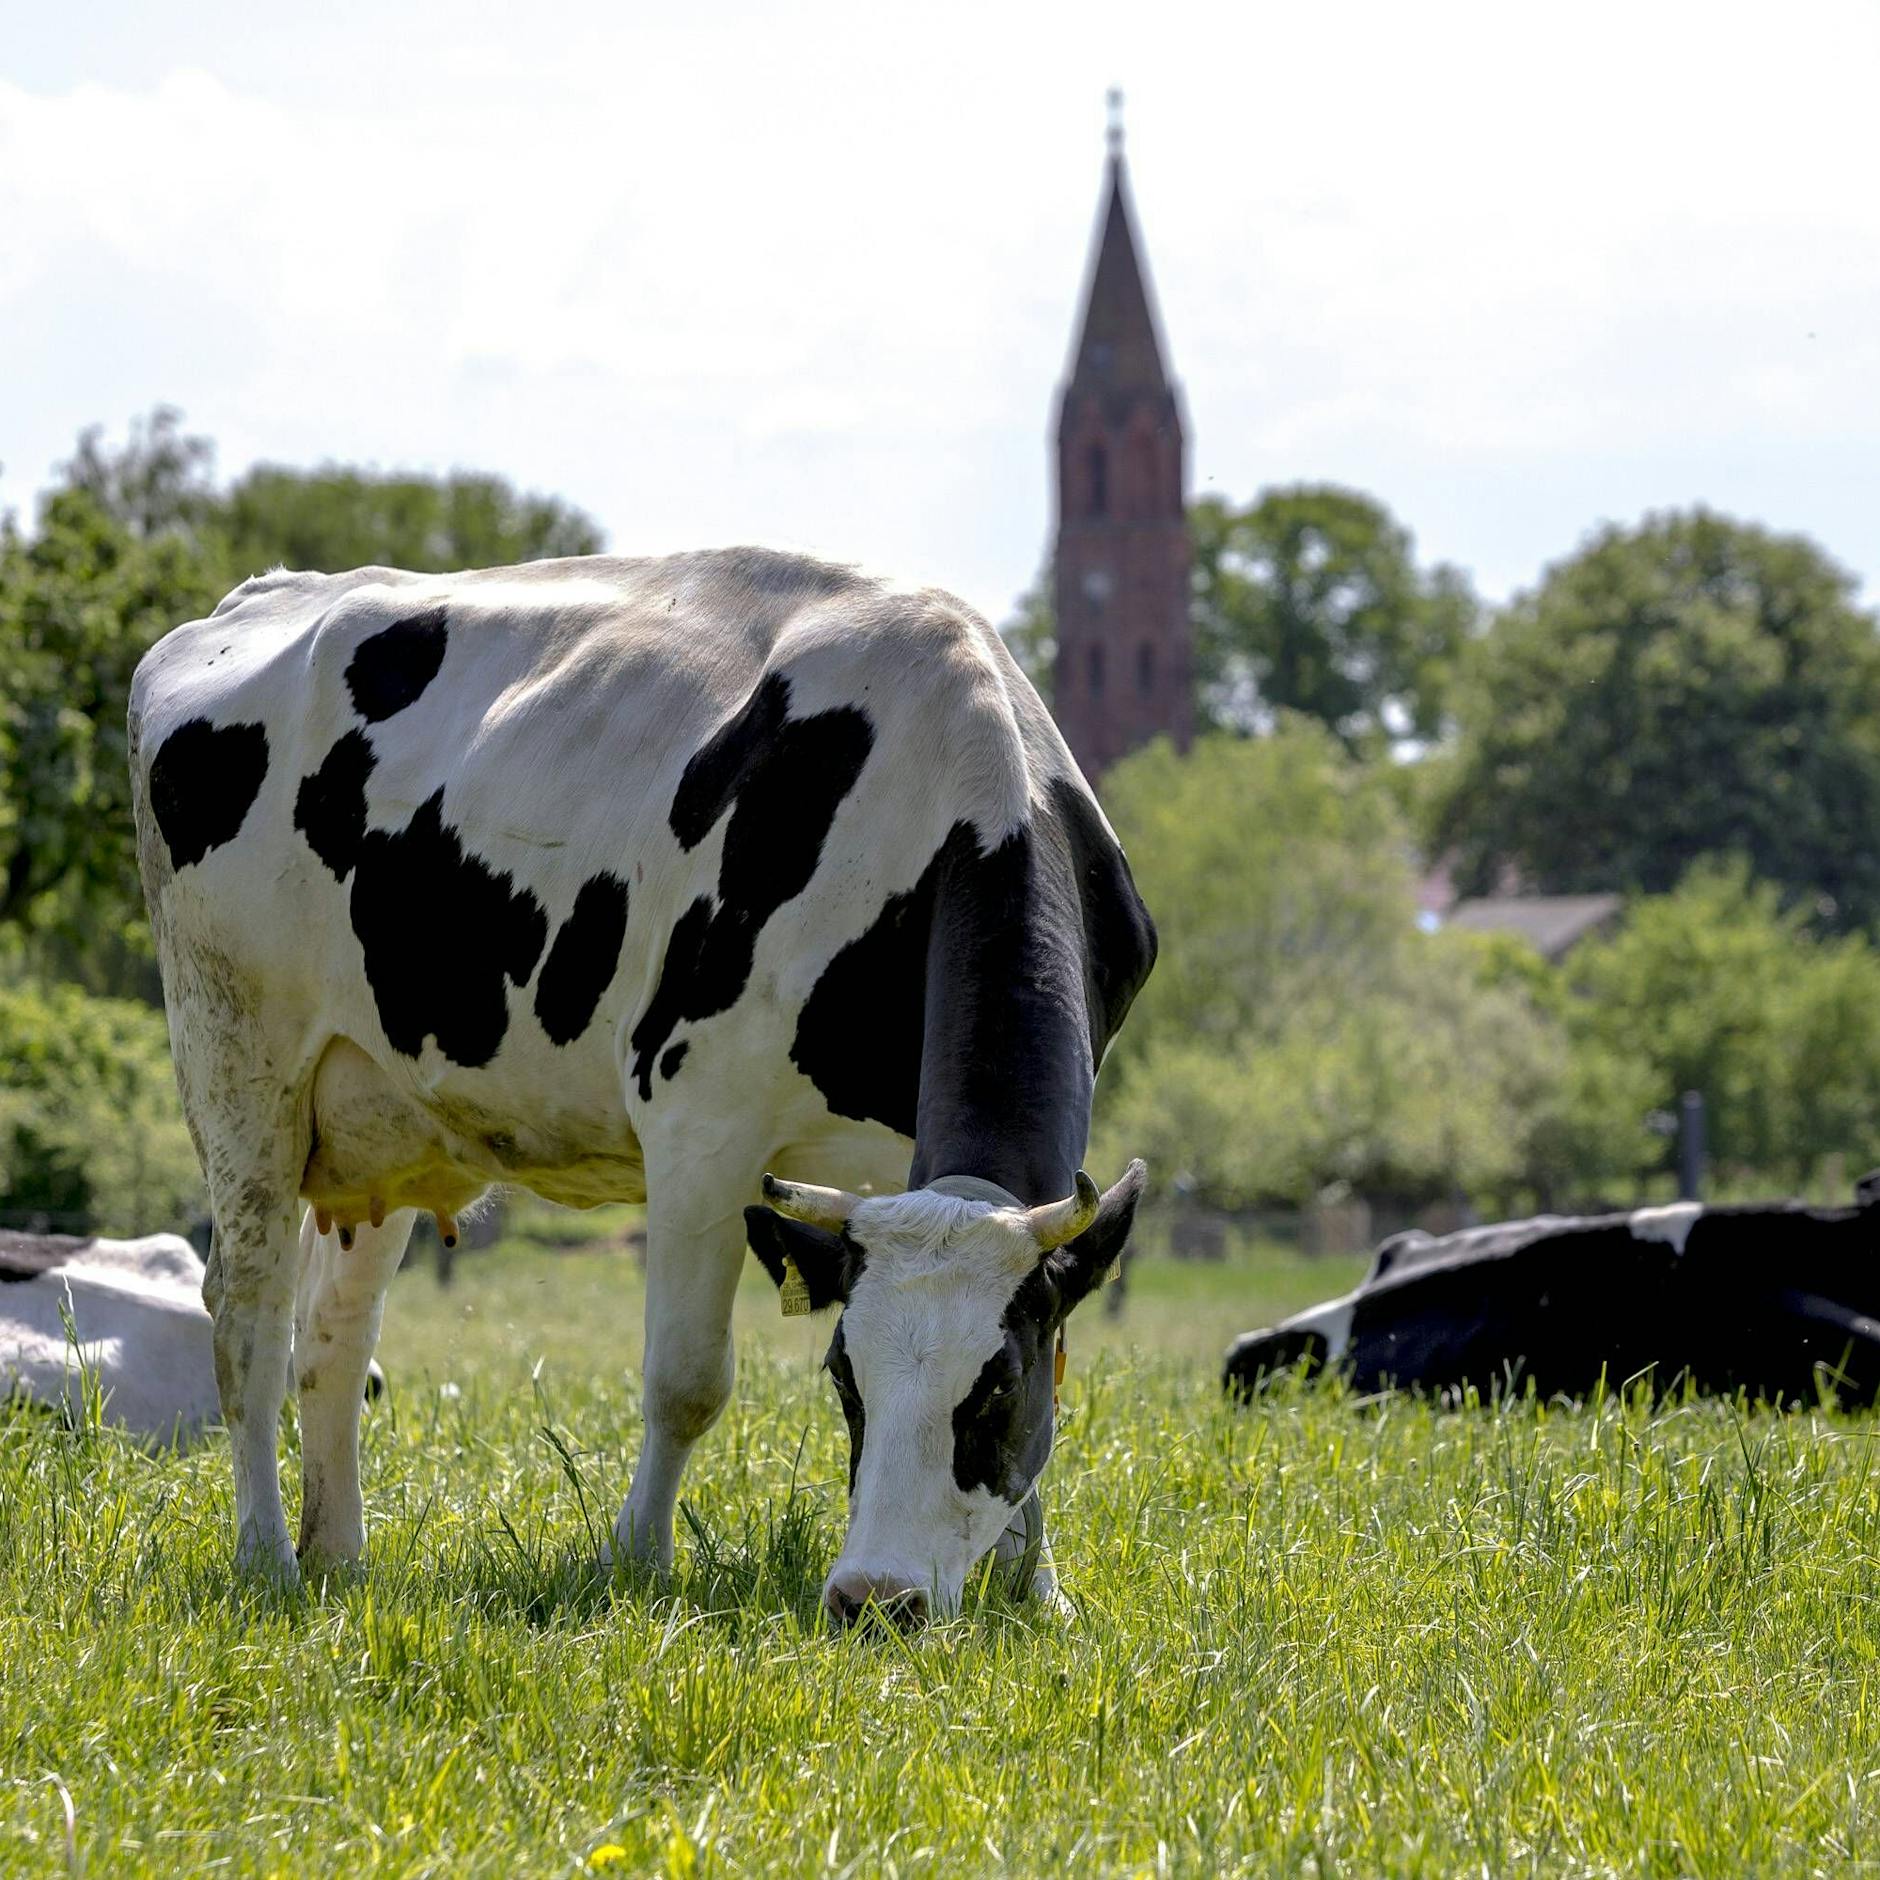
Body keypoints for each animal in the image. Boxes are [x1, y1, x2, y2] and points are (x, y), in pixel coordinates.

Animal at [128, 549, 1155, 1622]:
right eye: (844, 1377)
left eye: (996, 1385)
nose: (876, 1600)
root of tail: (255, 595)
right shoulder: (702, 1123)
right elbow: (686, 1380)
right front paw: (636, 1564)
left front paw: (1036, 1591)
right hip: (239, 1065)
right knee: (248, 1319)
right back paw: (267, 1559)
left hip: (380, 1118)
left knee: (334, 1334)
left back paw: (338, 1560)